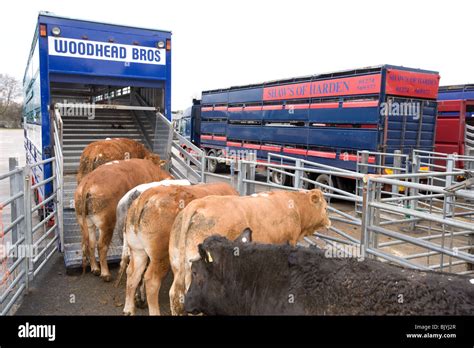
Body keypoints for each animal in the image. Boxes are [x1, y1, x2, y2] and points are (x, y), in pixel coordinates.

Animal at [119, 182, 236, 316]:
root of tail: (150, 193)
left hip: (138, 251)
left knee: (133, 274)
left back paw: (129, 309)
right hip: (161, 257)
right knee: (151, 280)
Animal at [169, 190, 330, 316]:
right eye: (325, 207)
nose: (329, 222)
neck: (295, 206)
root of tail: (199, 204)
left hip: (178, 266)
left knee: (175, 295)